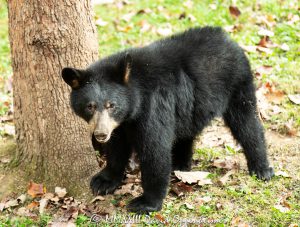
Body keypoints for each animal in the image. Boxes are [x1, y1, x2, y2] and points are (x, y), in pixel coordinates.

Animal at [61, 26, 274, 213]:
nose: (100, 134)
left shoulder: (153, 106)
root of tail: (227, 37)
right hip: (192, 105)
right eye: (89, 106)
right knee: (187, 131)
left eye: (111, 105)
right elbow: (116, 147)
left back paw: (262, 169)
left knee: (247, 124)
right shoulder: (120, 125)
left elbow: (155, 150)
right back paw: (181, 163)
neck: (135, 102)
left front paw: (146, 202)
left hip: (237, 84)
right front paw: (104, 180)